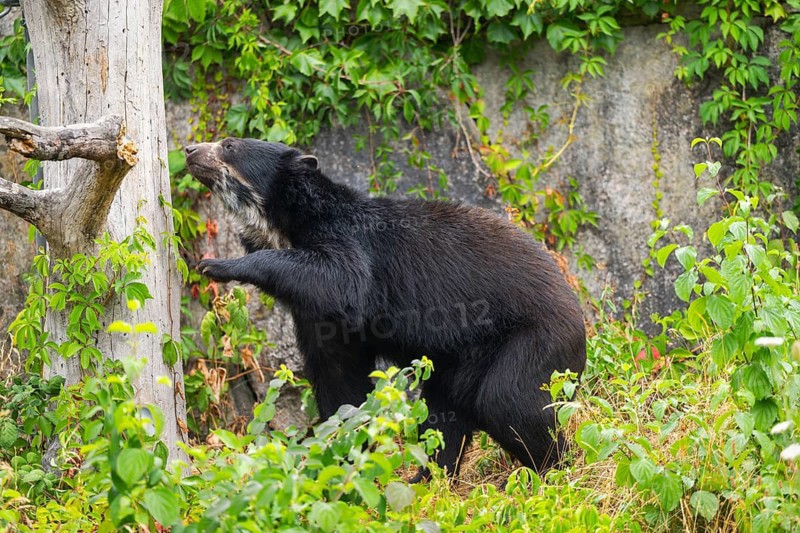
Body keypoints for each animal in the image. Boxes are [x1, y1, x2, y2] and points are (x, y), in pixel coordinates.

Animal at [185, 138, 586, 478]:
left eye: (229, 146)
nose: (189, 150)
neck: (286, 228)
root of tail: (579, 319)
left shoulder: (349, 249)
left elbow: (342, 279)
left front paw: (216, 265)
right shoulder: (323, 321)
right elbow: (340, 384)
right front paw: (344, 454)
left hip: (534, 343)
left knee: (507, 402)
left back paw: (555, 471)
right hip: (459, 363)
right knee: (445, 418)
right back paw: (426, 482)